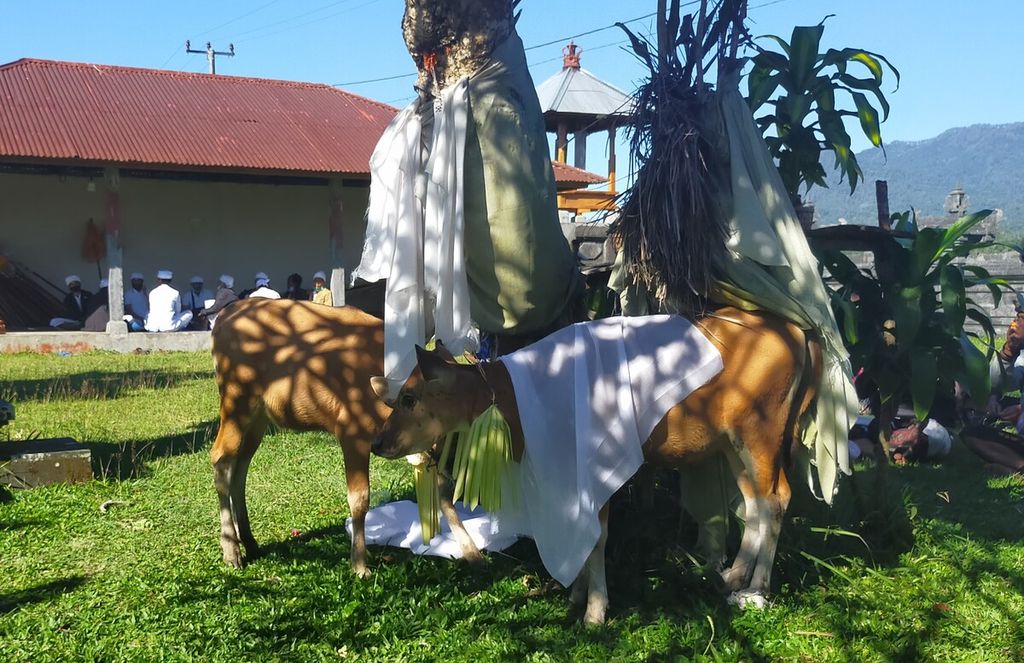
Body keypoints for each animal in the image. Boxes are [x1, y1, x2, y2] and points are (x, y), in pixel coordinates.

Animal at [209, 299, 481, 577]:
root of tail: (228, 313)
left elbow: (444, 492)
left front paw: (472, 553)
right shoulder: (351, 431)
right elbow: (360, 498)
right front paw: (359, 564)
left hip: (258, 419)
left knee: (240, 468)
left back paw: (249, 542)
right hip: (236, 402)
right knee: (222, 459)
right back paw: (231, 550)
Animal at [372, 309, 819, 627]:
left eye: (409, 397)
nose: (378, 442)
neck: (515, 398)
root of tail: (795, 329)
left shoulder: (595, 470)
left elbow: (599, 537)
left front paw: (595, 610)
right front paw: (577, 595)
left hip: (760, 432)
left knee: (776, 498)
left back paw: (757, 589)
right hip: (731, 442)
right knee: (754, 500)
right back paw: (733, 576)